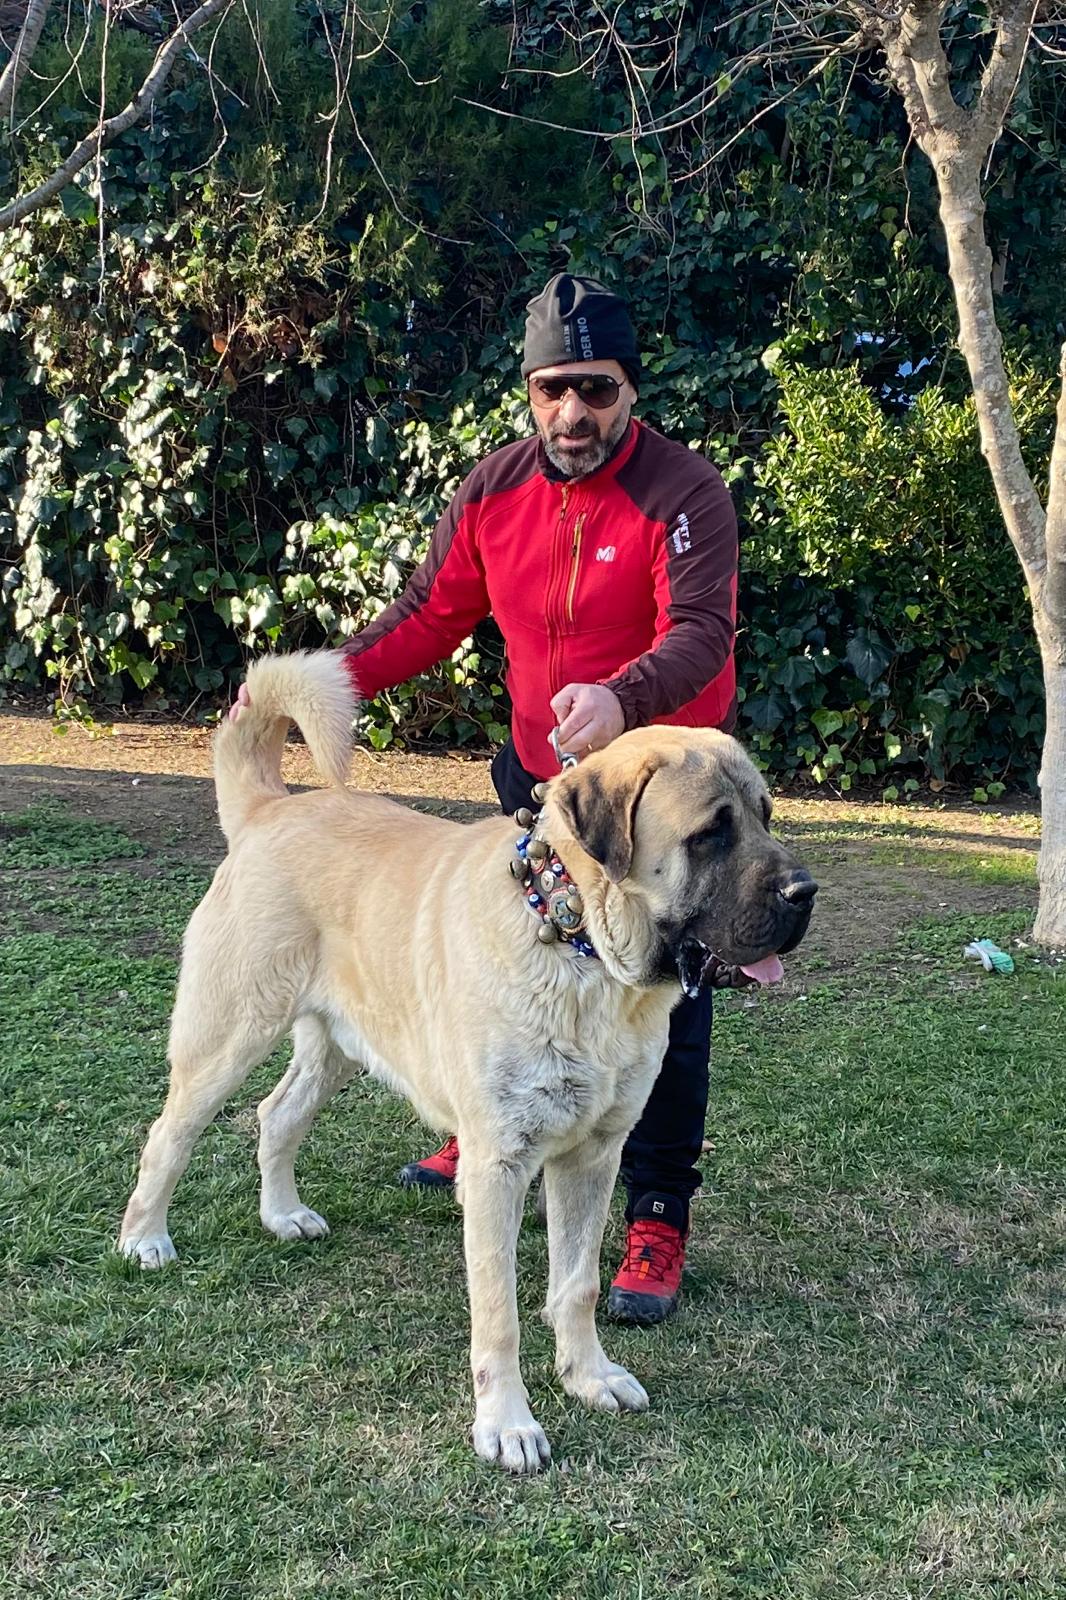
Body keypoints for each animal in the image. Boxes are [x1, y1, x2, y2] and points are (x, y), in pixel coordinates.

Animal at [119, 651, 815, 1473]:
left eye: (767, 816)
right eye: (711, 833)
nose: (806, 893)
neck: (580, 949)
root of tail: (268, 810)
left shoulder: (593, 1155)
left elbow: (576, 1285)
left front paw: (588, 1377)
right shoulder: (497, 1168)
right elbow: (500, 1312)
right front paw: (506, 1424)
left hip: (340, 1045)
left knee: (275, 1113)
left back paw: (282, 1213)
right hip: (228, 1032)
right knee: (170, 1134)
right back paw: (144, 1239)